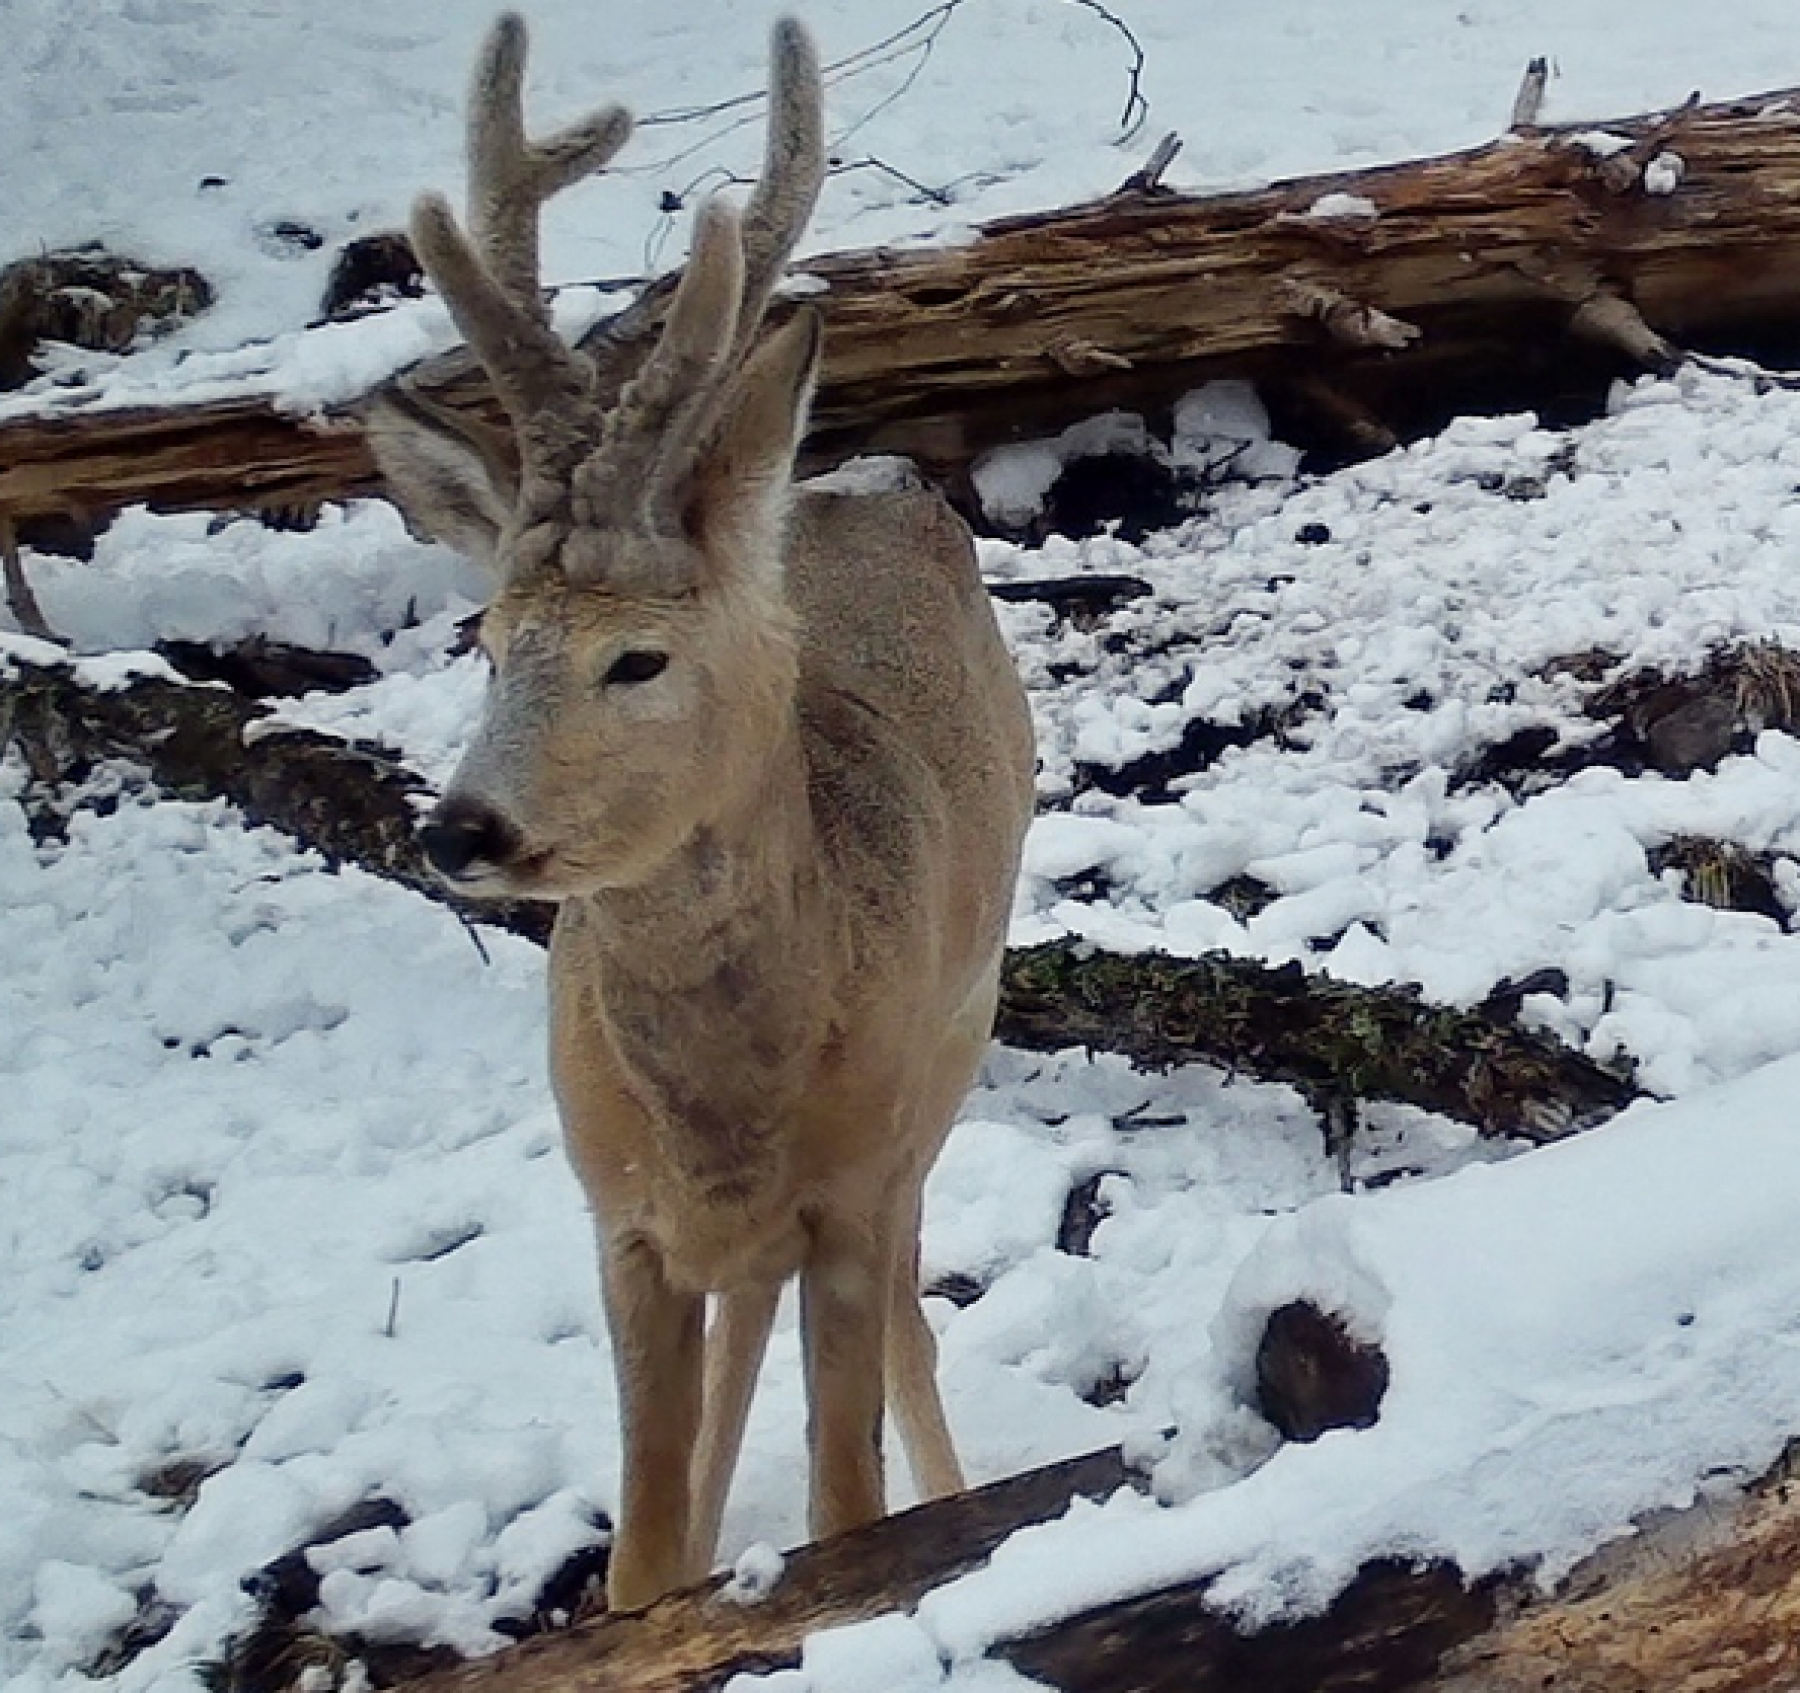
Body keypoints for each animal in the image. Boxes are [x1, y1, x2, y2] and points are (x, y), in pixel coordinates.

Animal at [372, 13, 1036, 1604]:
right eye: (486, 640)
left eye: (640, 656)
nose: (460, 830)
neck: (726, 1112)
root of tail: (859, 479)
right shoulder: (620, 1220)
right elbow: (639, 1547)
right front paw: (668, 1592)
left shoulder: (855, 1181)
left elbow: (850, 1507)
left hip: (958, 1041)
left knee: (913, 1315)